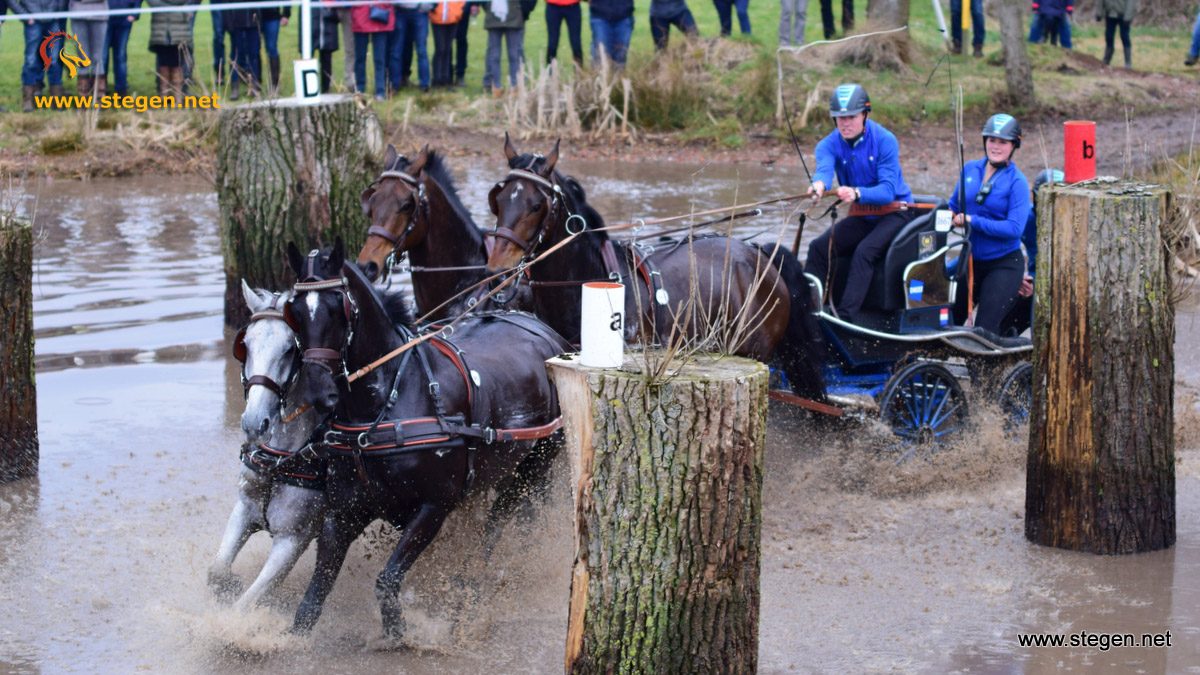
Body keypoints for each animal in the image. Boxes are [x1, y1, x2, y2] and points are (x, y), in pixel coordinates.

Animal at [280, 239, 566, 638]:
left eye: (339, 307)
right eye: (293, 312)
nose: (318, 392)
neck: (390, 396)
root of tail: (543, 330)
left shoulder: (433, 506)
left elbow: (387, 580)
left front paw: (398, 633)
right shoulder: (345, 511)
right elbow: (315, 594)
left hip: (537, 462)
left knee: (503, 522)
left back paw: (479, 580)